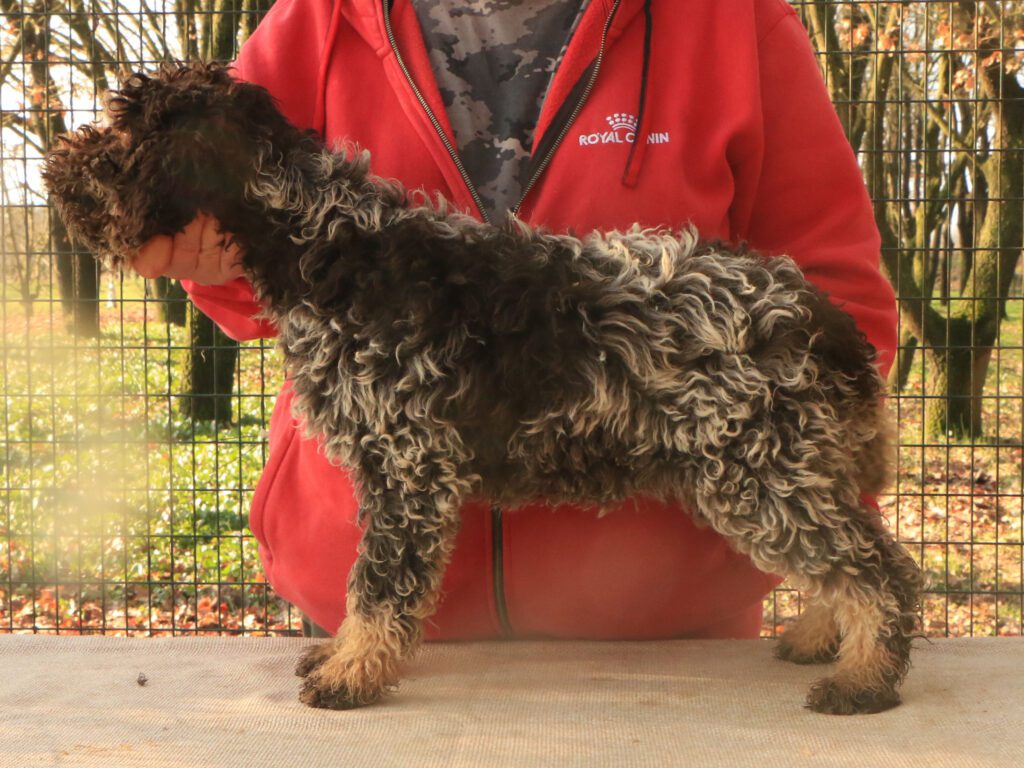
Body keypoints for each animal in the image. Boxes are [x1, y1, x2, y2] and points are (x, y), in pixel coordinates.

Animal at [44, 61, 925, 716]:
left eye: (126, 132)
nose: (59, 167)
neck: (329, 240)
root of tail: (818, 313)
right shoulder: (396, 469)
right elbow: (370, 587)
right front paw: (344, 656)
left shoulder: (406, 469)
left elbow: (379, 585)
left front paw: (353, 673)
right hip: (778, 469)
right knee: (849, 557)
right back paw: (821, 638)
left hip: (758, 468)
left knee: (875, 566)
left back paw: (863, 678)